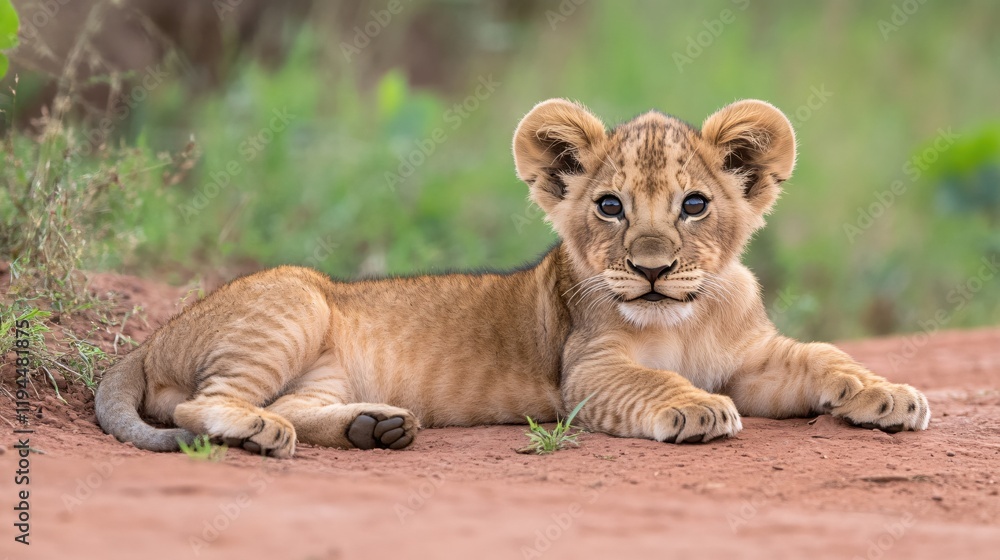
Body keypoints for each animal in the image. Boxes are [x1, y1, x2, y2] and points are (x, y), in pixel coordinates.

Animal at [95, 98, 930, 458]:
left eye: (694, 205)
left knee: (297, 405)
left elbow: (826, 358)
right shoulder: (587, 374)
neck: (686, 315)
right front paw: (695, 409)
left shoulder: (755, 360)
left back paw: (376, 427)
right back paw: (263, 433)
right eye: (610, 206)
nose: (652, 269)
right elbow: (657, 382)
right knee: (205, 405)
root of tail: (152, 339)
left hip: (320, 371)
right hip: (292, 299)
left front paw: (891, 395)